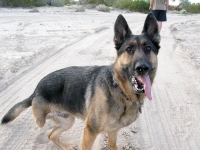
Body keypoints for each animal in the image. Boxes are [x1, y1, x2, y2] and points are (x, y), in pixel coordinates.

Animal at [1, 13, 161, 149]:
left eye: (148, 48)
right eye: (129, 49)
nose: (142, 68)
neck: (120, 90)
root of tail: (36, 90)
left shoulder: (113, 131)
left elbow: (113, 145)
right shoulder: (90, 130)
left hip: (67, 121)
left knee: (52, 135)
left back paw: (66, 146)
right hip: (45, 120)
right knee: (45, 127)